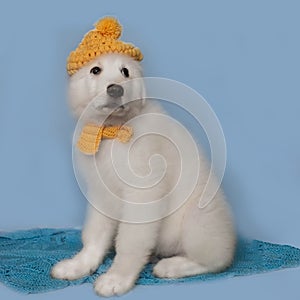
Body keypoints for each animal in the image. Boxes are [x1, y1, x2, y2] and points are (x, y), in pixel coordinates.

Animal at [51, 52, 237, 296]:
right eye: (95, 70)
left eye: (125, 72)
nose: (116, 90)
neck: (113, 131)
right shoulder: (100, 192)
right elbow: (95, 234)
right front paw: (79, 265)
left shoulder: (143, 194)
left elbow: (130, 241)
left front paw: (117, 278)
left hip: (198, 220)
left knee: (217, 260)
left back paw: (172, 266)